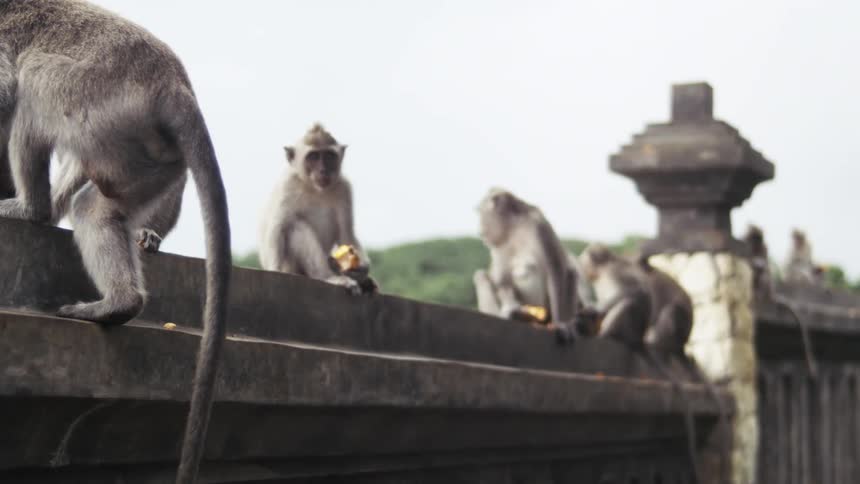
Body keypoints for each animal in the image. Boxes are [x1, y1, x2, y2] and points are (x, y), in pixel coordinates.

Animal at [259, 123, 376, 295]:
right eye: (313, 157)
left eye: (328, 156)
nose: (323, 170)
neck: (315, 189)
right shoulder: (288, 185)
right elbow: (277, 229)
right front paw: (274, 269)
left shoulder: (344, 188)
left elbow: (346, 233)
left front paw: (360, 269)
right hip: (291, 267)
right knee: (296, 226)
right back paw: (328, 277)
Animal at [472, 188, 584, 339]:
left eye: (481, 213)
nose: (480, 230)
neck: (514, 226)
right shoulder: (499, 245)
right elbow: (503, 279)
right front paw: (511, 309)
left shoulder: (539, 227)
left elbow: (556, 270)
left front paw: (561, 324)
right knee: (481, 276)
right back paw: (515, 315)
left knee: (571, 273)